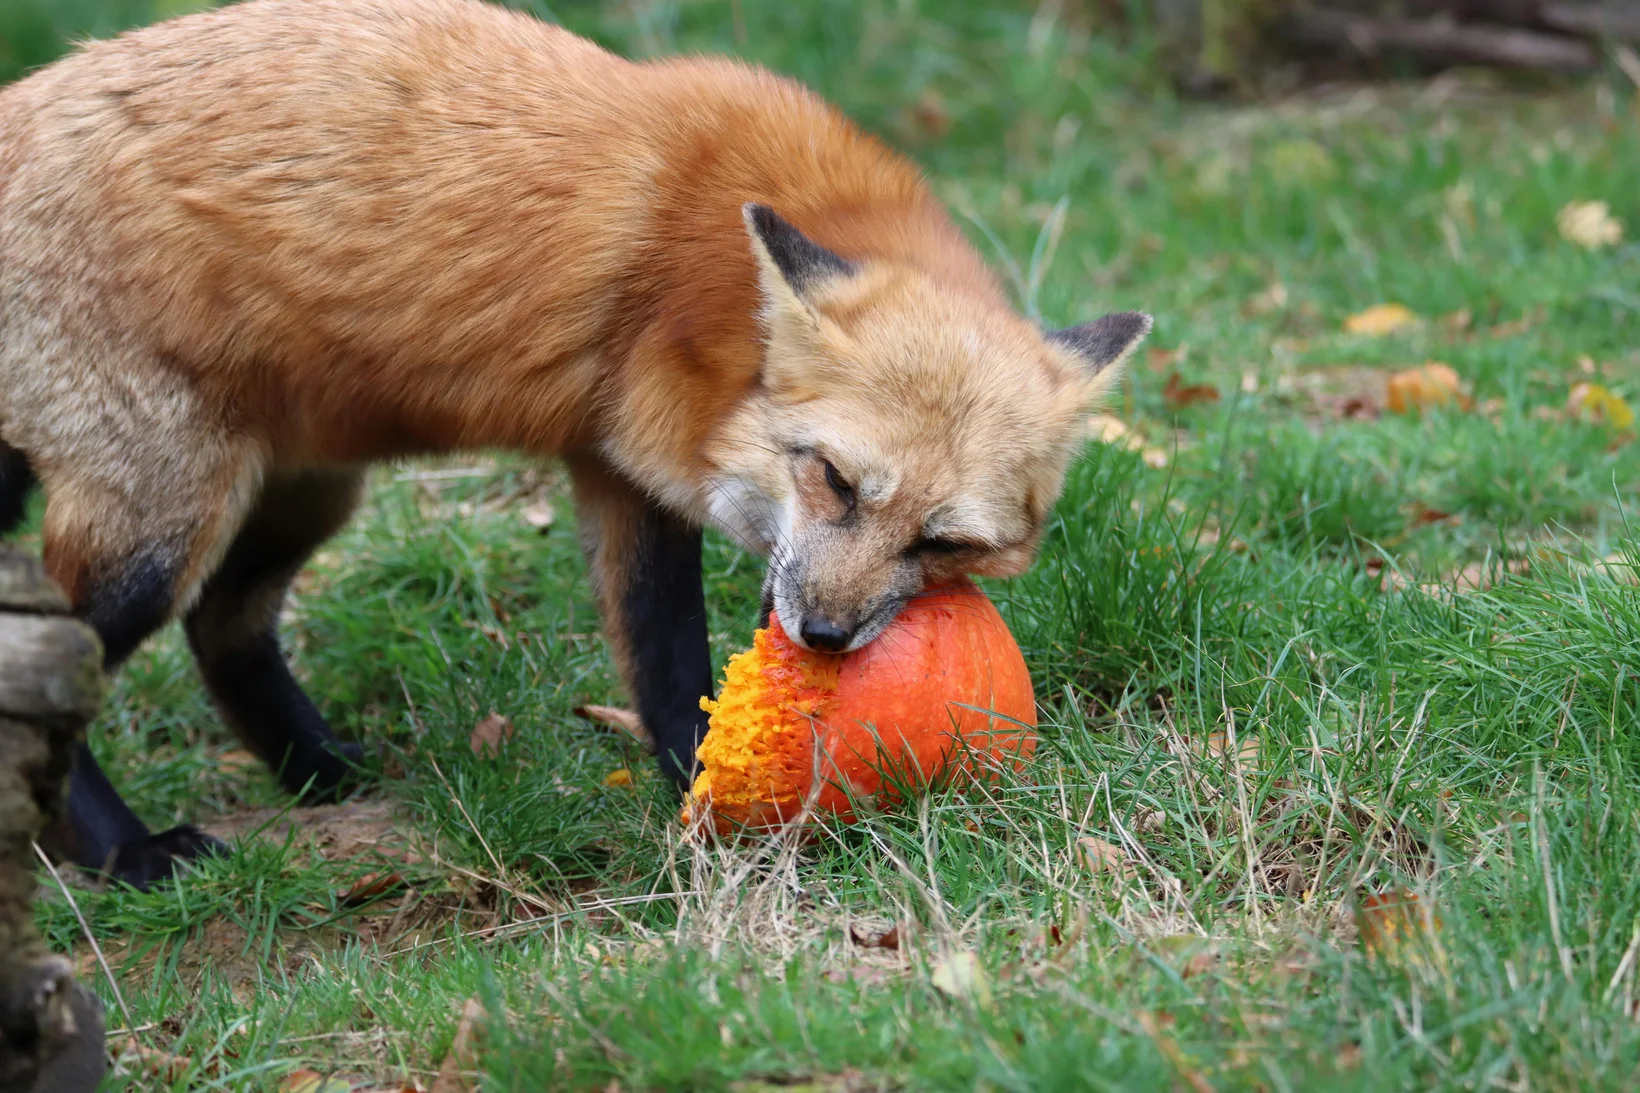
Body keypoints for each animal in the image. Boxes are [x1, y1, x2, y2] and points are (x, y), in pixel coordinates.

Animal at [0, 0, 1154, 886]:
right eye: (831, 479)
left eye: (944, 544)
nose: (825, 637)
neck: (713, 301)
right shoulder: (641, 463)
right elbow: (673, 650)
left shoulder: (621, 472)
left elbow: (666, 668)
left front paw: (706, 792)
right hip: (163, 520)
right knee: (66, 648)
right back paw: (122, 854)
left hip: (300, 489)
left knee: (225, 627)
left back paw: (322, 771)